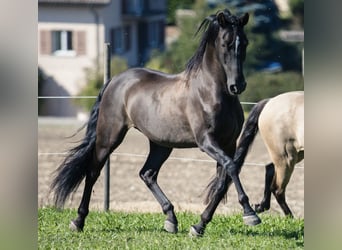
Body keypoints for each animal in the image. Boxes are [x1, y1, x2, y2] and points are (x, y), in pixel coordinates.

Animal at [50, 9, 260, 236]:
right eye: (225, 43)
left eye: (245, 42)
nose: (237, 85)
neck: (212, 92)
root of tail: (115, 80)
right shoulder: (206, 142)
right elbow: (231, 167)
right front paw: (250, 213)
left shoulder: (228, 144)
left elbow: (224, 181)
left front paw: (199, 225)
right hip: (109, 138)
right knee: (93, 172)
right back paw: (78, 221)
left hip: (161, 144)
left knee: (147, 174)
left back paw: (171, 219)